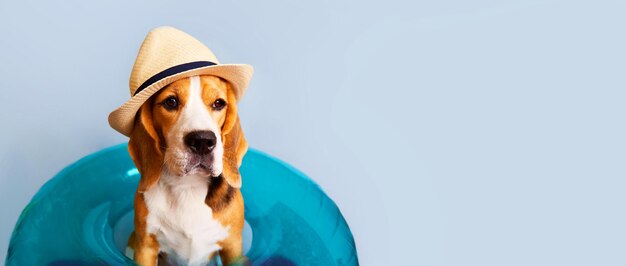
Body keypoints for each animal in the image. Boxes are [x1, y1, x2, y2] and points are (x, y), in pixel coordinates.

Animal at [126, 75, 246, 266]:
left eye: (218, 103)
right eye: (171, 102)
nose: (203, 141)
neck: (187, 187)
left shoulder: (233, 245)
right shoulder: (145, 247)